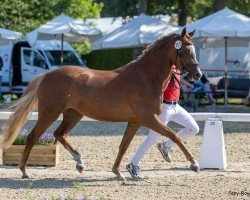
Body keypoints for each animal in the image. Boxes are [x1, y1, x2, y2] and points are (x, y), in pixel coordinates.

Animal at [0, 27, 201, 180]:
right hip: (49, 112)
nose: (197, 74)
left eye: (193, 50)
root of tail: (47, 75)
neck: (146, 76)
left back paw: (80, 162)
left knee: (59, 134)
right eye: (184, 51)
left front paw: (118, 172)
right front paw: (194, 164)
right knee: (33, 137)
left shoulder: (135, 121)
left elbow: (123, 146)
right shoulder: (148, 118)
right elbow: (174, 135)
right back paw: (24, 171)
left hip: (73, 114)